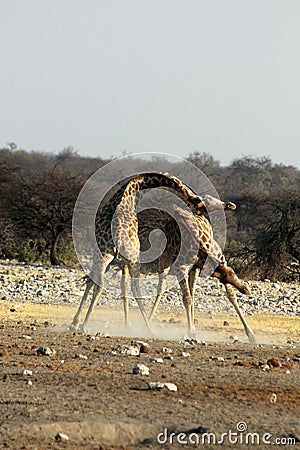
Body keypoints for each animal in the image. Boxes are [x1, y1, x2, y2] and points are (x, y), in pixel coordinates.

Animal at [70, 172, 221, 334]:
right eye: (203, 203)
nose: (201, 216)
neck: (133, 190)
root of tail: (118, 235)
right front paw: (75, 322)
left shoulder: (114, 257)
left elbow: (110, 284)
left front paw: (76, 322)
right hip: (121, 257)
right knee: (129, 287)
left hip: (113, 256)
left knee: (112, 285)